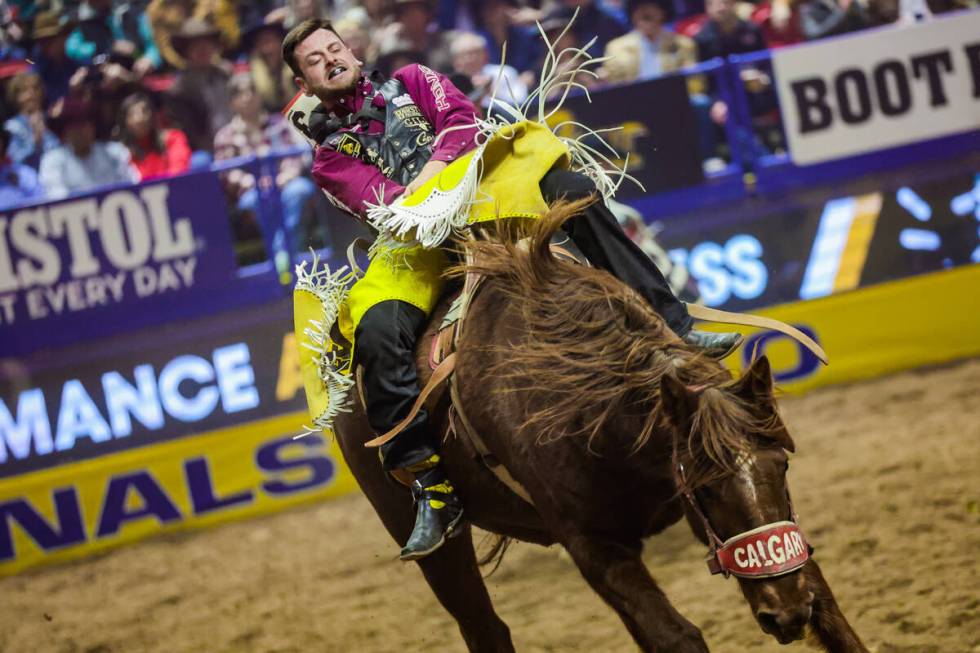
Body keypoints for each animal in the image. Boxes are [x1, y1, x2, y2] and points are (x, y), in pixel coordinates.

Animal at [334, 201, 868, 648]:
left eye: (782, 466)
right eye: (707, 486)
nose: (787, 613)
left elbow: (827, 606)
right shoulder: (591, 544)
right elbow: (677, 636)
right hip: (425, 539)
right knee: (483, 626)